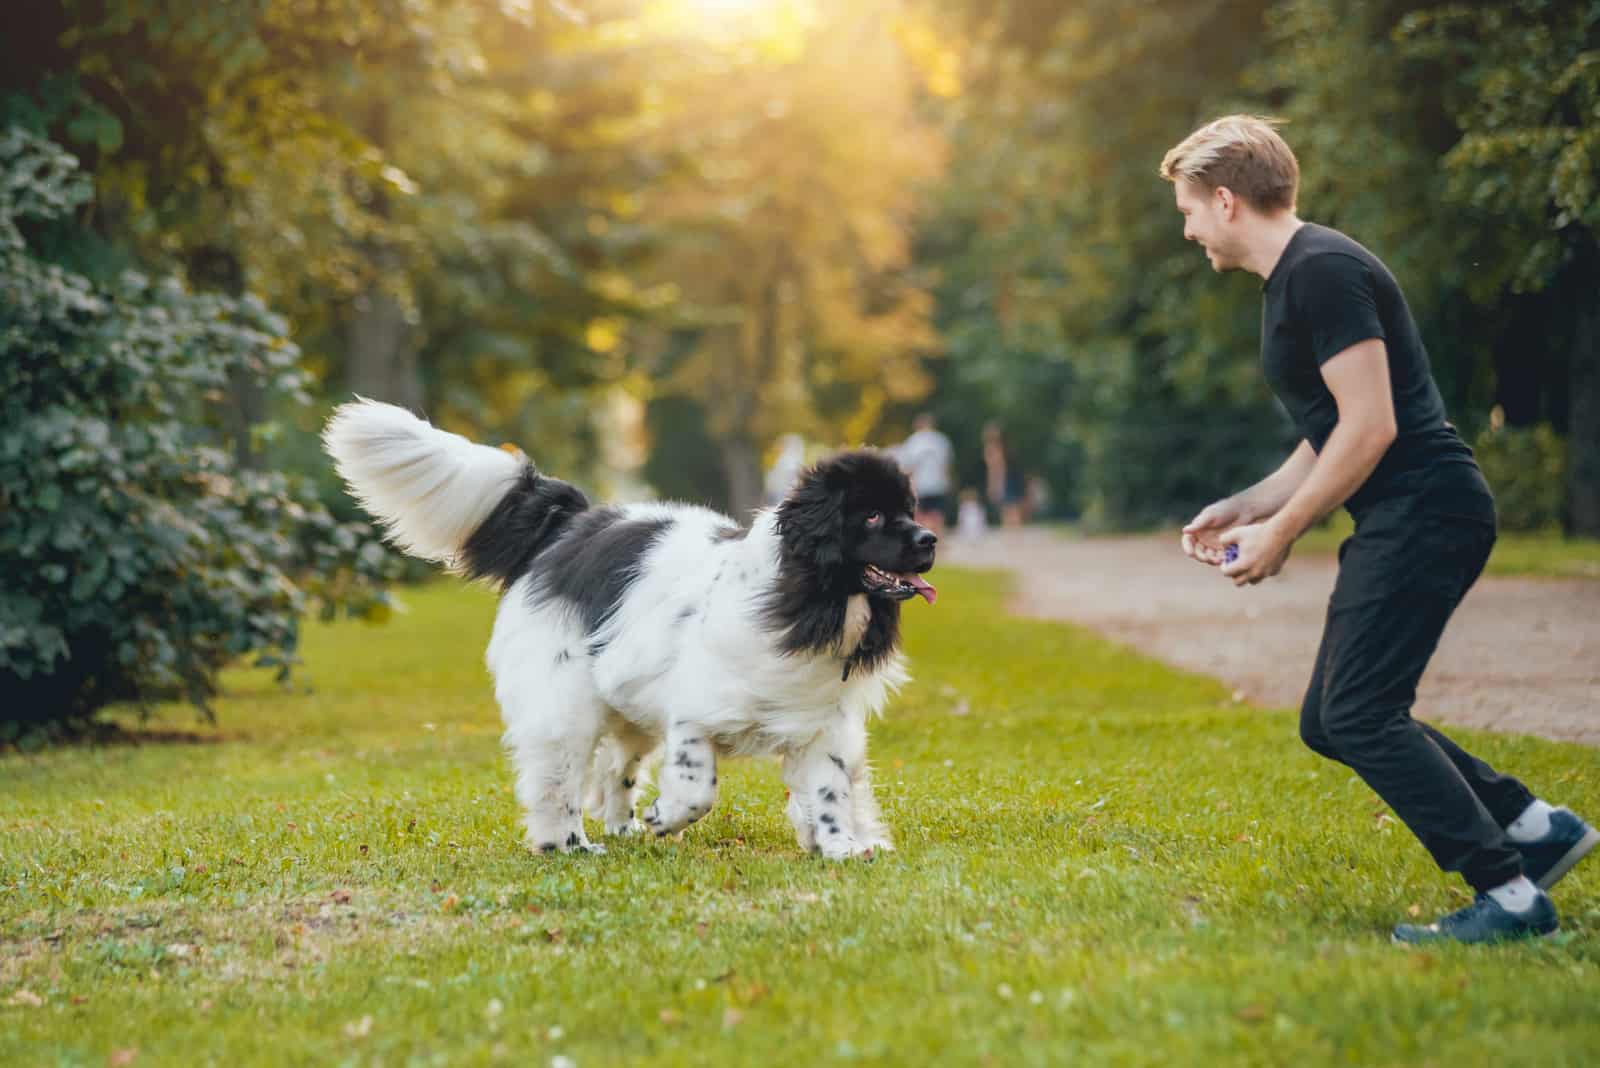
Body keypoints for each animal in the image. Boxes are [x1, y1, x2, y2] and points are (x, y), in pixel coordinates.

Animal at [321, 398, 934, 856]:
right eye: (872, 516)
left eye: (910, 510)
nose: (929, 539)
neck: (806, 596)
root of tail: (570, 524)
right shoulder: (693, 712)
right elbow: (697, 788)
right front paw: (667, 817)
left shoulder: (820, 723)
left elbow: (830, 791)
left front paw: (841, 847)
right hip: (565, 699)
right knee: (557, 778)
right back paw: (568, 844)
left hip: (625, 700)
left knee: (617, 766)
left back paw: (620, 827)